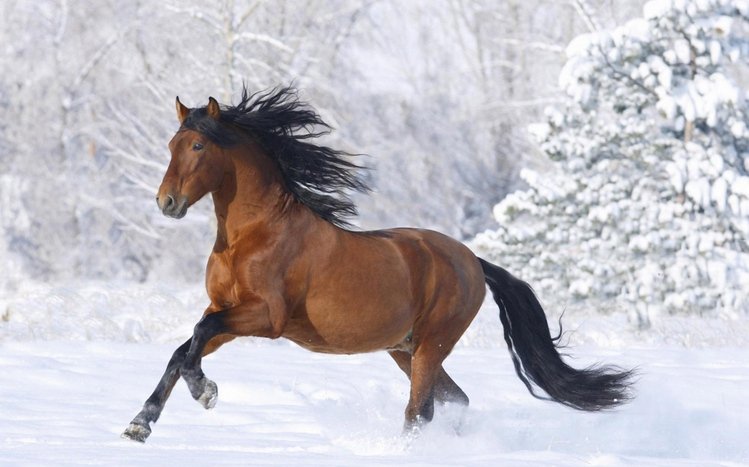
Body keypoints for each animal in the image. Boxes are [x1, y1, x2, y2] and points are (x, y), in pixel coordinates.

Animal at [122, 86, 634, 443]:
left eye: (198, 148)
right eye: (171, 145)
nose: (166, 203)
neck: (254, 235)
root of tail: (471, 259)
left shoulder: (265, 317)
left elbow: (195, 339)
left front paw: (205, 392)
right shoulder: (225, 311)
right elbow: (183, 349)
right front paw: (140, 424)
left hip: (431, 345)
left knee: (420, 411)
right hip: (404, 349)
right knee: (454, 400)